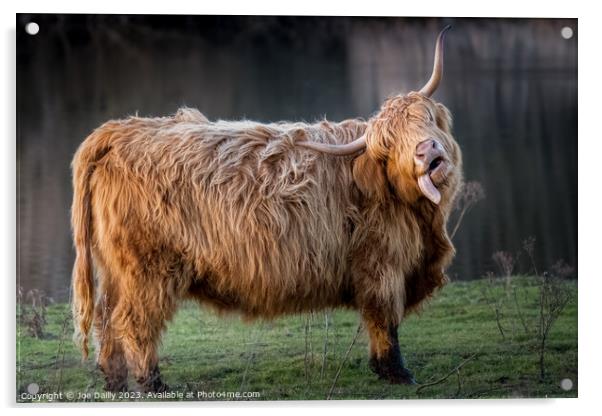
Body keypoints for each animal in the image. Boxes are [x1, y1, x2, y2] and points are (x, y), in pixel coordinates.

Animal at [72, 26, 462, 394]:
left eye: (426, 119)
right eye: (390, 144)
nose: (427, 152)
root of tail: (118, 131)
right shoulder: (382, 264)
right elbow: (384, 320)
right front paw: (397, 373)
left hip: (115, 268)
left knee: (107, 318)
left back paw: (114, 381)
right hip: (148, 267)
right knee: (133, 321)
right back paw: (153, 382)